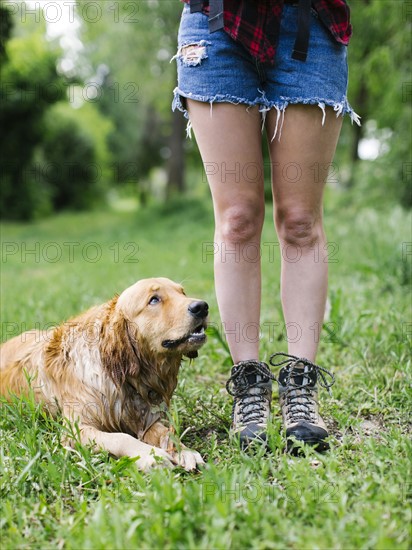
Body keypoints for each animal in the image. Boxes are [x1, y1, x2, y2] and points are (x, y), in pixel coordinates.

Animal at [0, 280, 208, 474]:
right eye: (154, 300)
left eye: (182, 292)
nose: (202, 306)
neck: (121, 376)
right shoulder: (75, 430)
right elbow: (121, 437)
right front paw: (151, 456)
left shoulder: (145, 418)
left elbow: (165, 432)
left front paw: (183, 450)